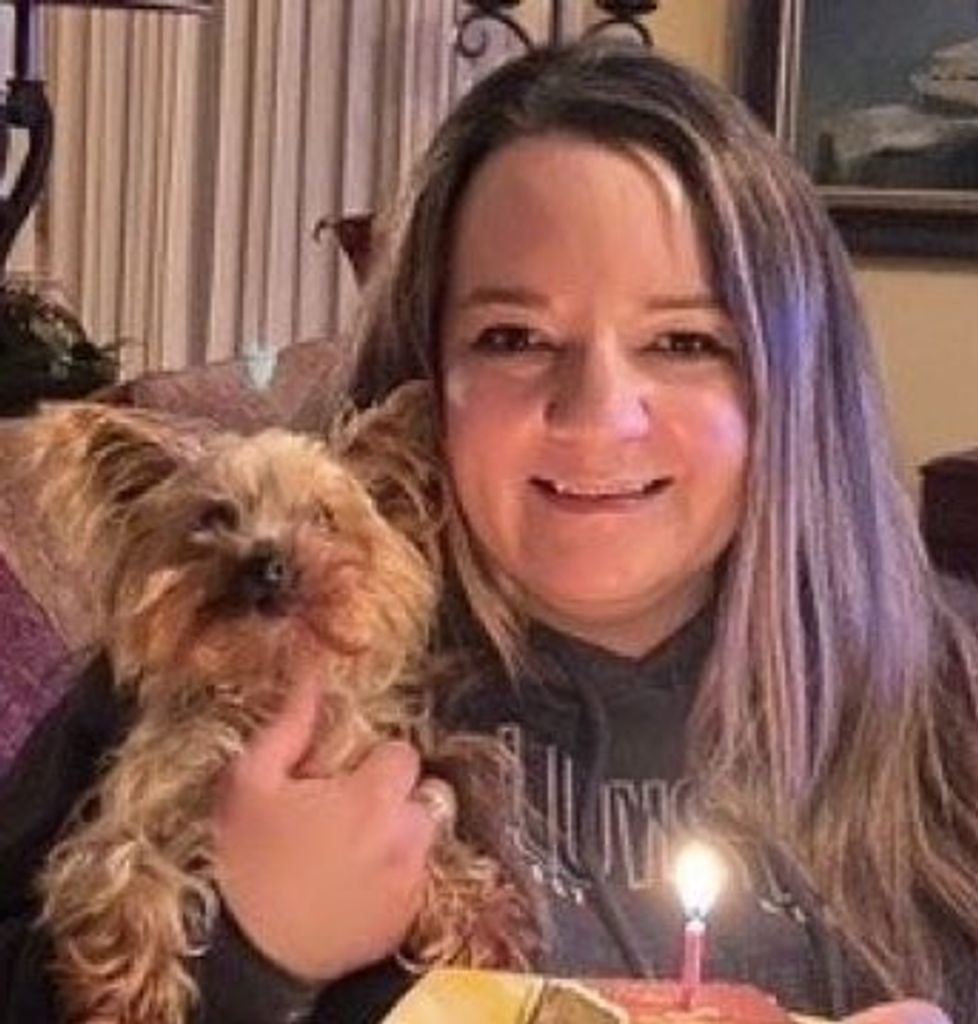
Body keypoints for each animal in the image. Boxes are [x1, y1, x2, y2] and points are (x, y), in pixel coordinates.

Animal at [32, 383, 537, 1023]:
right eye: (214, 517)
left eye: (323, 517)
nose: (267, 562)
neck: (269, 683)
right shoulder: (143, 802)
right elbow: (126, 863)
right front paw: (127, 991)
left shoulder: (368, 759)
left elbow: (442, 849)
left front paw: (480, 918)